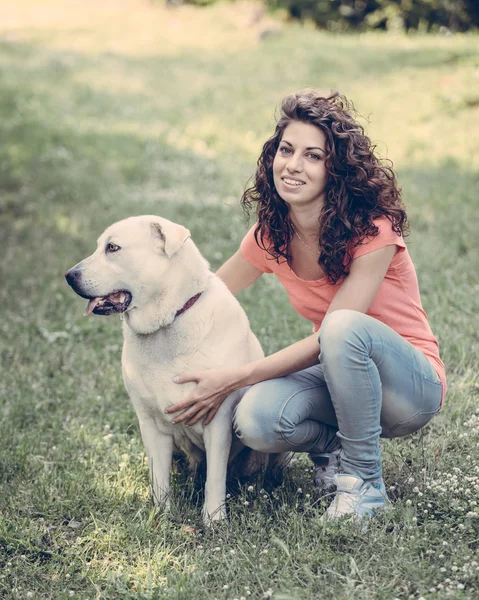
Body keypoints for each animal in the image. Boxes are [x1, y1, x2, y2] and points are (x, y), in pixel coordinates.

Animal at [66, 217, 290, 524]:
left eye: (113, 248)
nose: (68, 275)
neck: (167, 323)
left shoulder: (216, 420)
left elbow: (215, 478)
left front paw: (213, 519)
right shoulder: (151, 426)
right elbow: (159, 479)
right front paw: (161, 516)